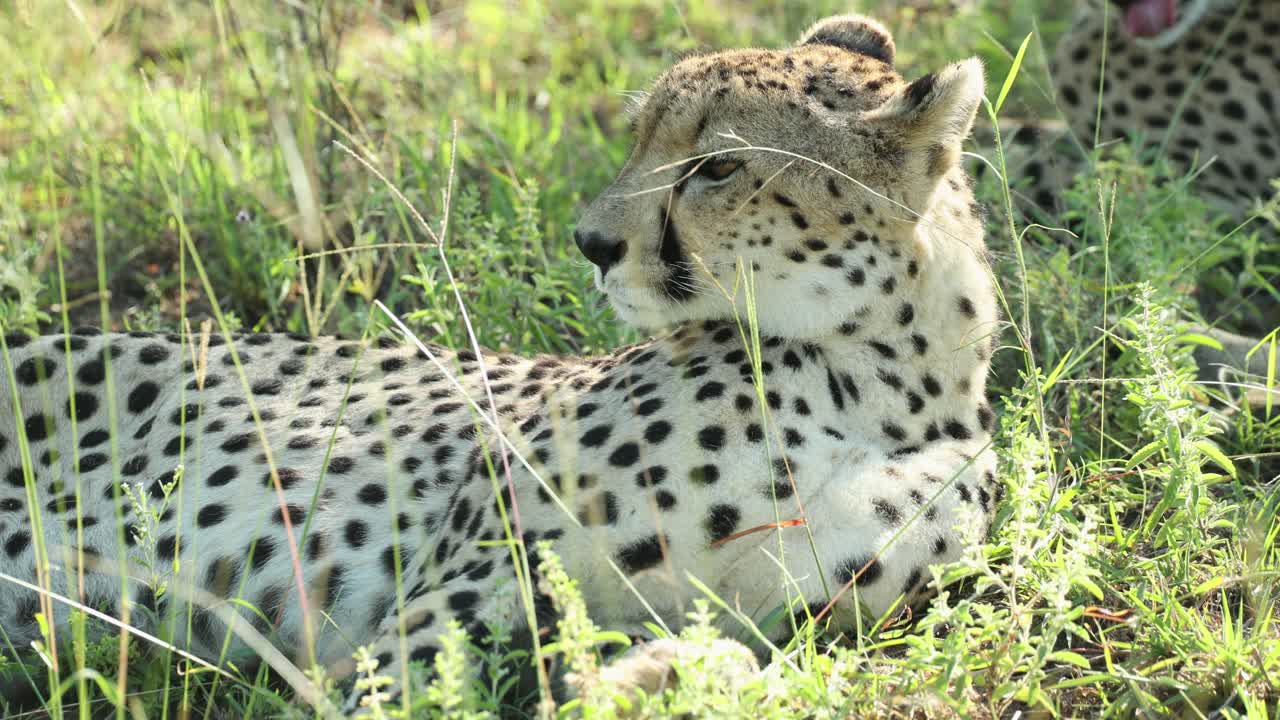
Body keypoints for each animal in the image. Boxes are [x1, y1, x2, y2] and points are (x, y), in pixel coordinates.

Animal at [0, 14, 1001, 711]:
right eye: (641, 138)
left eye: (717, 168)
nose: (591, 242)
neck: (882, 376)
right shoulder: (472, 571)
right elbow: (402, 691)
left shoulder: (782, 616)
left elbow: (730, 659)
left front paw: (650, 678)